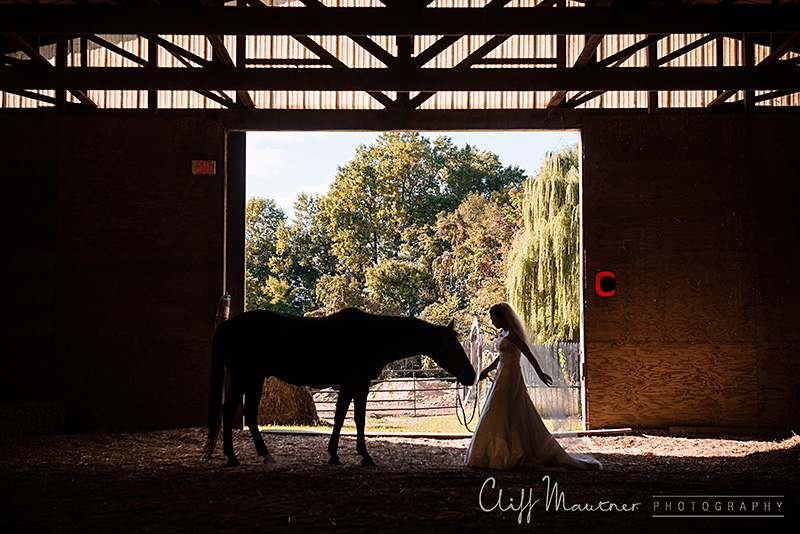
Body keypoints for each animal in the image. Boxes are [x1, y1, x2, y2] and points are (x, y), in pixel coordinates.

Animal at [203, 310, 476, 468]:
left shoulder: (347, 384)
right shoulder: (359, 382)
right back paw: (232, 457)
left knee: (248, 413)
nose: (471, 375)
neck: (373, 336)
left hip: (255, 378)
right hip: (242, 377)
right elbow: (358, 419)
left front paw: (334, 455)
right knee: (228, 409)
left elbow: (340, 417)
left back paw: (265, 455)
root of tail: (225, 326)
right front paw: (365, 457)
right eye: (453, 346)